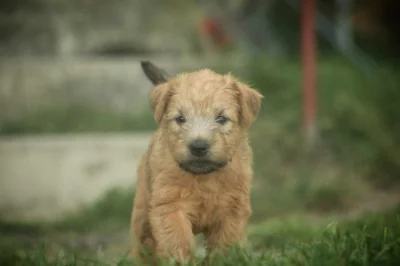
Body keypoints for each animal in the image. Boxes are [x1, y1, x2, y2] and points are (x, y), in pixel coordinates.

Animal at [130, 60, 262, 264]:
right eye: (180, 118)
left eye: (221, 118)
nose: (198, 146)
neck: (203, 177)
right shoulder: (170, 207)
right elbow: (177, 241)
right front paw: (180, 262)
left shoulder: (232, 210)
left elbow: (226, 244)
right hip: (143, 211)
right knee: (140, 244)